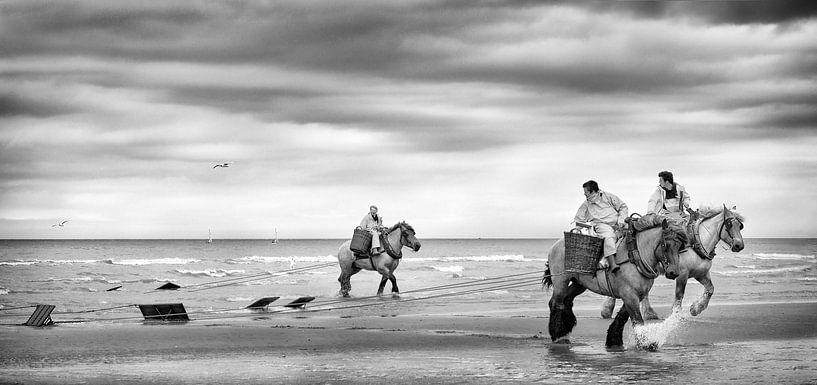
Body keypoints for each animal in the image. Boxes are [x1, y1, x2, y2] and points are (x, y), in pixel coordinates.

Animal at [540, 219, 688, 348]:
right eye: (665, 245)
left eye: (679, 246)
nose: (673, 272)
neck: (635, 257)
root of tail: (556, 244)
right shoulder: (630, 296)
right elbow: (637, 321)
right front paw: (646, 344)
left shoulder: (636, 296)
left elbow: (622, 317)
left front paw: (614, 340)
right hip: (561, 280)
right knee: (556, 303)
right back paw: (558, 335)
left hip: (579, 284)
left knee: (567, 300)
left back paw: (565, 329)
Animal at [600, 204, 744, 318]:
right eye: (730, 224)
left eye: (740, 226)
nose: (739, 245)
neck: (696, 242)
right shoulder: (682, 273)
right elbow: (679, 294)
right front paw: (676, 314)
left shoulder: (701, 274)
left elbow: (710, 289)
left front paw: (696, 309)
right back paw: (609, 310)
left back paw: (647, 313)